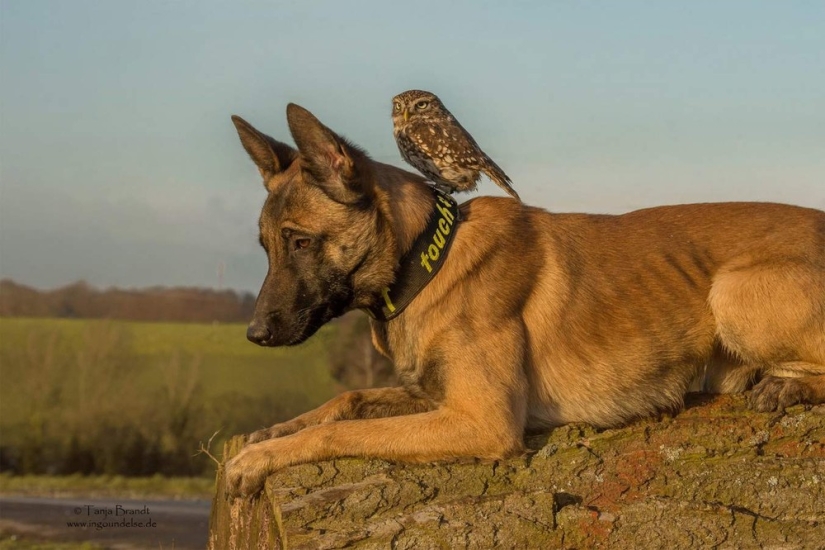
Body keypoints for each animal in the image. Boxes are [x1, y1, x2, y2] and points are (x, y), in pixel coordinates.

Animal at [222, 103, 820, 500]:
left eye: (301, 242)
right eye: (267, 247)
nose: (255, 334)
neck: (428, 258)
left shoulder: (479, 421)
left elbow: (341, 431)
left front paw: (260, 458)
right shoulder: (437, 398)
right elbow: (348, 402)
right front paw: (274, 431)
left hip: (732, 291)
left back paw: (789, 387)